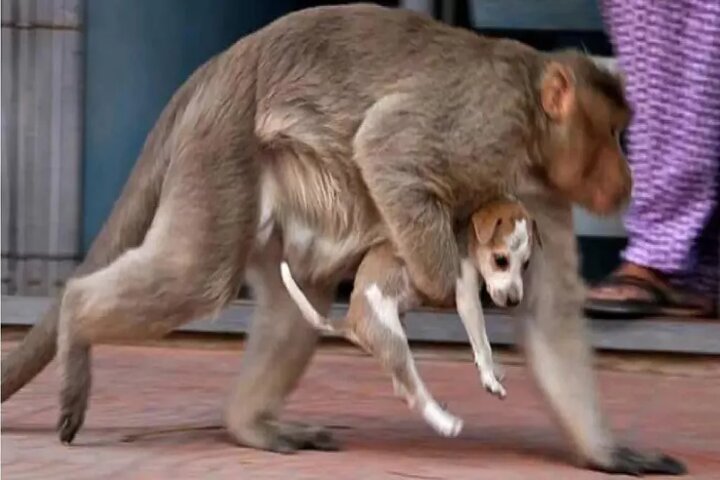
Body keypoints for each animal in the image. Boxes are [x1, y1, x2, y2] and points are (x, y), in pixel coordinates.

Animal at [1, 4, 685, 475]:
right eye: (614, 133)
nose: (627, 174)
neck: (531, 129)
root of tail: (218, 69)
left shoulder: (541, 195)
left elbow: (548, 313)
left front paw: (607, 452)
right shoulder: (487, 125)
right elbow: (386, 145)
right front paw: (439, 280)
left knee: (296, 298)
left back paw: (250, 425)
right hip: (222, 151)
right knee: (198, 273)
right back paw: (77, 315)